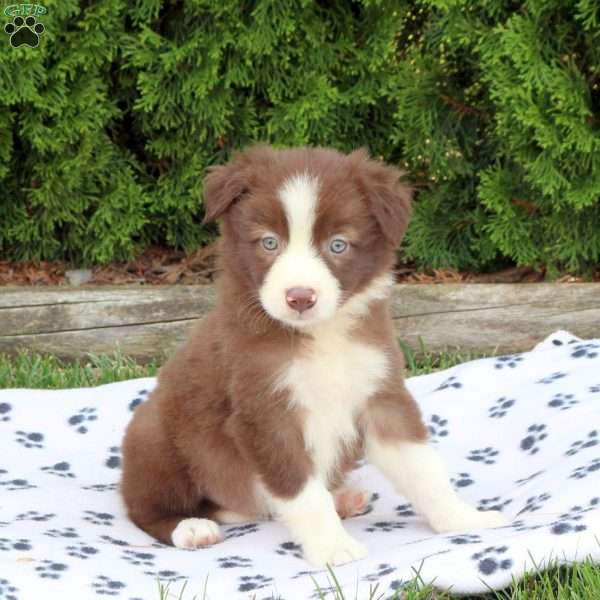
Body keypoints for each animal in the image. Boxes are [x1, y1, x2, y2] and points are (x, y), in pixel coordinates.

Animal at [119, 145, 504, 568]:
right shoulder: (266, 415)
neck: (322, 335)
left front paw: (464, 518)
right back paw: (189, 528)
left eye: (338, 245)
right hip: (153, 437)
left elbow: (423, 468)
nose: (300, 297)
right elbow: (302, 492)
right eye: (269, 243)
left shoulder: (380, 393)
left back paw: (342, 499)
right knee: (143, 507)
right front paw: (333, 548)